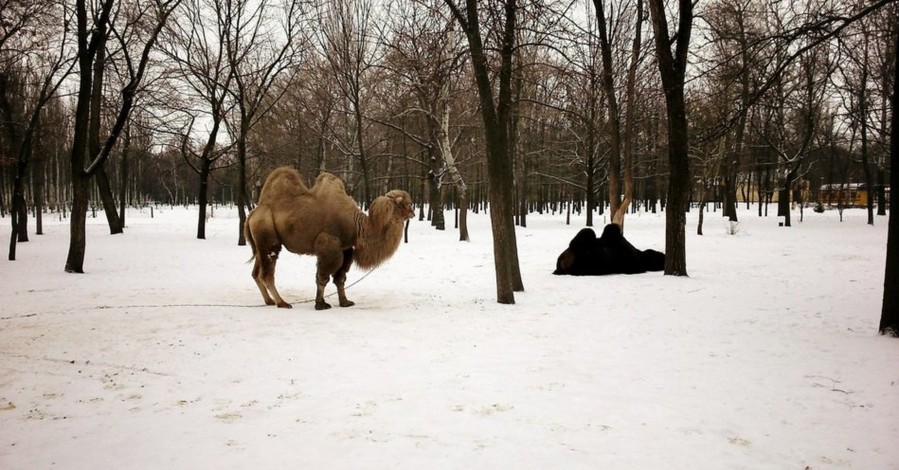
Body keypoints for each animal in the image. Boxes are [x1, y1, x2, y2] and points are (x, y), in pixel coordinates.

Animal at [246, 167, 414, 310]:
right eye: (407, 204)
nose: (413, 213)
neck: (358, 226)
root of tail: (252, 214)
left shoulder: (346, 249)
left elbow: (340, 278)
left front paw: (345, 302)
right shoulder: (329, 246)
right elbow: (323, 277)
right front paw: (320, 304)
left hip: (260, 244)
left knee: (256, 273)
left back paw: (269, 300)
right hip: (268, 238)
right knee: (267, 273)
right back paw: (282, 303)